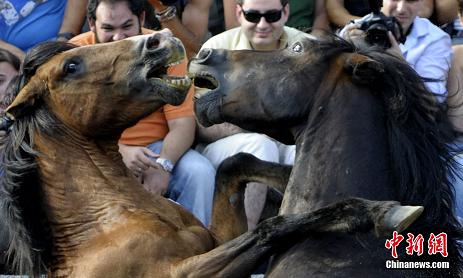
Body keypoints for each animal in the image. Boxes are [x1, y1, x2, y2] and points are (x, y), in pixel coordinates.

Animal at [0, 31, 424, 276]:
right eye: (71, 66)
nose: (159, 39)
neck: (103, 224)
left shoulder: (215, 240)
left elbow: (235, 169)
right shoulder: (183, 273)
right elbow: (269, 228)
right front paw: (378, 211)